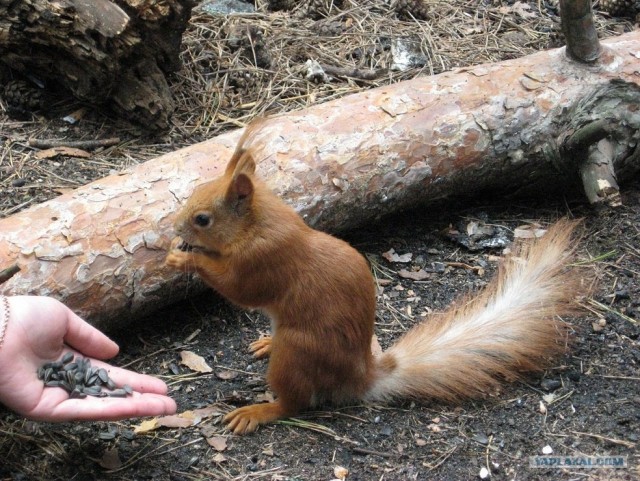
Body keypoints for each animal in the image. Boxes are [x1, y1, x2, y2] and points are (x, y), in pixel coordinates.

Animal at [165, 121, 584, 436]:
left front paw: (182, 257)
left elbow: (239, 289)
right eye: (195, 190)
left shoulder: (264, 261)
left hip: (297, 352)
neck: (258, 225)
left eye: (203, 219)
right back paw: (268, 343)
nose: (175, 226)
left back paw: (258, 411)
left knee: (294, 403)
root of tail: (359, 377)